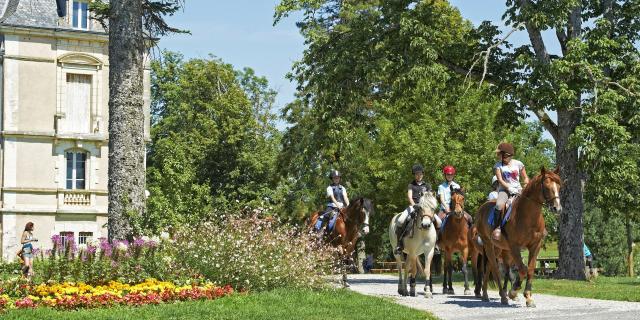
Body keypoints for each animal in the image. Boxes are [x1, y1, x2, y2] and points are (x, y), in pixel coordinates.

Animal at [476, 166, 560, 306]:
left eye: (559, 186)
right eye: (547, 186)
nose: (557, 208)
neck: (528, 216)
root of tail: (482, 208)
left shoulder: (535, 246)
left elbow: (530, 269)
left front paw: (528, 297)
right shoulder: (514, 246)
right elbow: (522, 269)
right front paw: (513, 292)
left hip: (498, 248)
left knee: (489, 267)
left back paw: (486, 295)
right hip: (488, 244)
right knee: (495, 268)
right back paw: (503, 296)